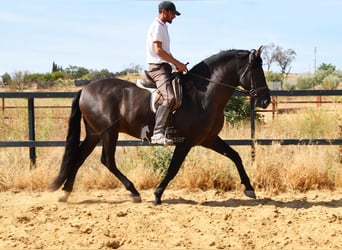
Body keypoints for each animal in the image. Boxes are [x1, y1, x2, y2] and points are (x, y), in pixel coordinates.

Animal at [50, 47, 270, 205]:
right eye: (256, 70)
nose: (266, 100)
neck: (202, 95)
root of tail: (85, 89)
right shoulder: (185, 143)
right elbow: (173, 169)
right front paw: (157, 195)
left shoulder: (208, 139)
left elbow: (235, 155)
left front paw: (249, 188)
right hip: (108, 133)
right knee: (107, 161)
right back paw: (134, 192)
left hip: (95, 133)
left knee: (79, 158)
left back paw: (65, 193)